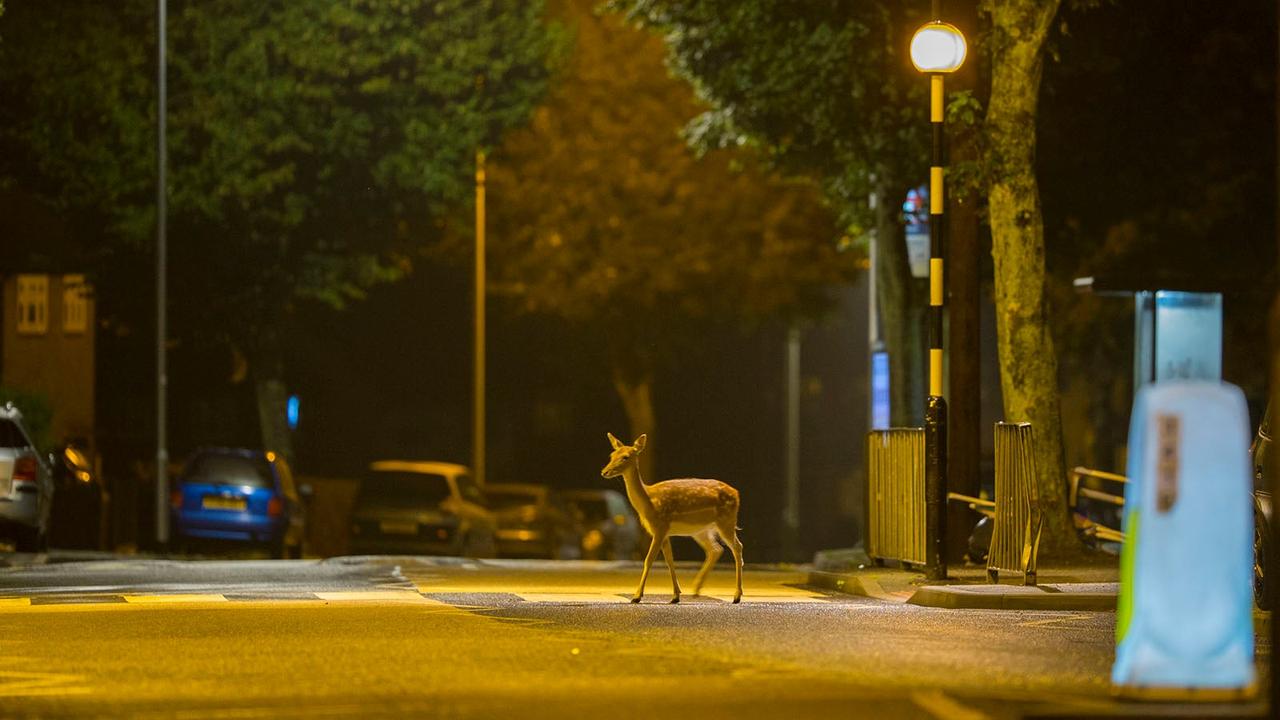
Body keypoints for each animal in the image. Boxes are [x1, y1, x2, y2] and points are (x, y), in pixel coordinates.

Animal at [600, 433, 743, 604]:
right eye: (611, 455)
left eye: (625, 457)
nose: (604, 472)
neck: (649, 501)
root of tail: (737, 493)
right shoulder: (664, 531)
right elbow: (669, 560)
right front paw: (676, 595)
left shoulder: (660, 527)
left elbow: (649, 560)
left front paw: (636, 596)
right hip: (702, 530)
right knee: (715, 549)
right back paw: (696, 589)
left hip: (726, 521)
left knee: (737, 547)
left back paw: (736, 595)